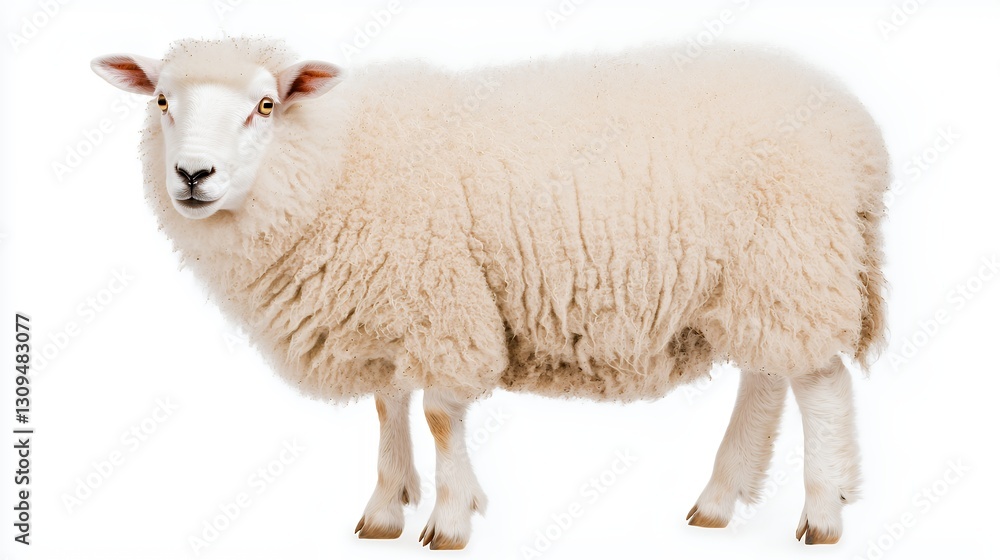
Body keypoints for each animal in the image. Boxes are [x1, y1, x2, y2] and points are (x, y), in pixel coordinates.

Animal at [91, 36, 889, 550]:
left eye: (263, 105)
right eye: (160, 100)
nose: (193, 176)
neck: (334, 162)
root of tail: (855, 131)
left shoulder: (439, 297)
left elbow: (441, 415)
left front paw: (449, 520)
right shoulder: (387, 307)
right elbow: (388, 406)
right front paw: (386, 509)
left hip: (792, 260)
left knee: (818, 383)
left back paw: (823, 514)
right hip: (764, 279)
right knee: (769, 376)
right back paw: (721, 501)